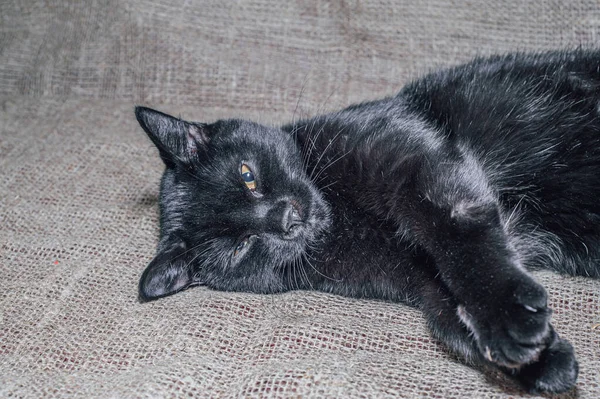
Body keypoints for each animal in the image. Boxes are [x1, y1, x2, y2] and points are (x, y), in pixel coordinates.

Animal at [135, 49, 600, 394]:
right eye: (240, 246)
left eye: (248, 176)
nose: (287, 219)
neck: (343, 219)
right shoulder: (417, 281)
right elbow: (448, 317)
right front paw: (544, 360)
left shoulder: (418, 161)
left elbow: (458, 235)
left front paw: (508, 316)